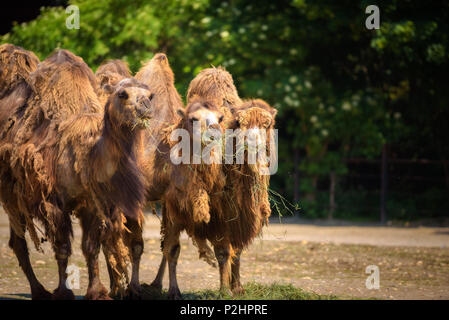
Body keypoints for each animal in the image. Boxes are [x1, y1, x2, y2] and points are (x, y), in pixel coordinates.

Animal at [0, 45, 152, 300]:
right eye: (122, 94)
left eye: (150, 94)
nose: (146, 106)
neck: (87, 153)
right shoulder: (54, 201)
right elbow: (62, 248)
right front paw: (64, 291)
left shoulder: (92, 203)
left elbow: (90, 248)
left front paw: (97, 291)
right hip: (10, 194)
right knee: (18, 241)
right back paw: (39, 291)